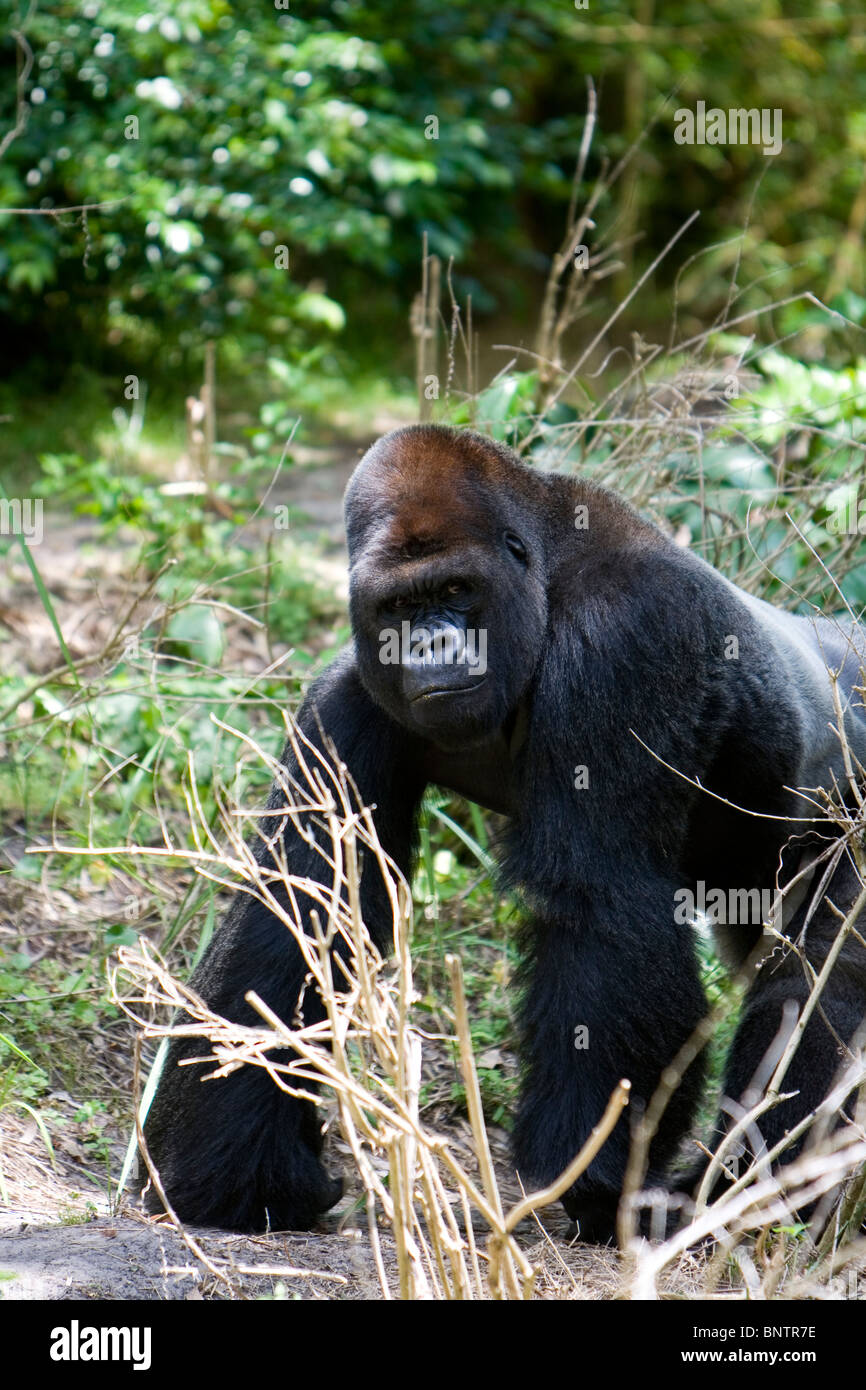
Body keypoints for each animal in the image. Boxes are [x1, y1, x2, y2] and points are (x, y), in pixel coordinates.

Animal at [140, 419, 866, 1239]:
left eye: (456, 591)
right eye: (399, 606)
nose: (429, 646)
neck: (546, 571)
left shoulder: (625, 638)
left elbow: (599, 901)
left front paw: (590, 1176)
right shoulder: (347, 696)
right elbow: (302, 899)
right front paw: (236, 1174)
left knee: (820, 982)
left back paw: (752, 1200)